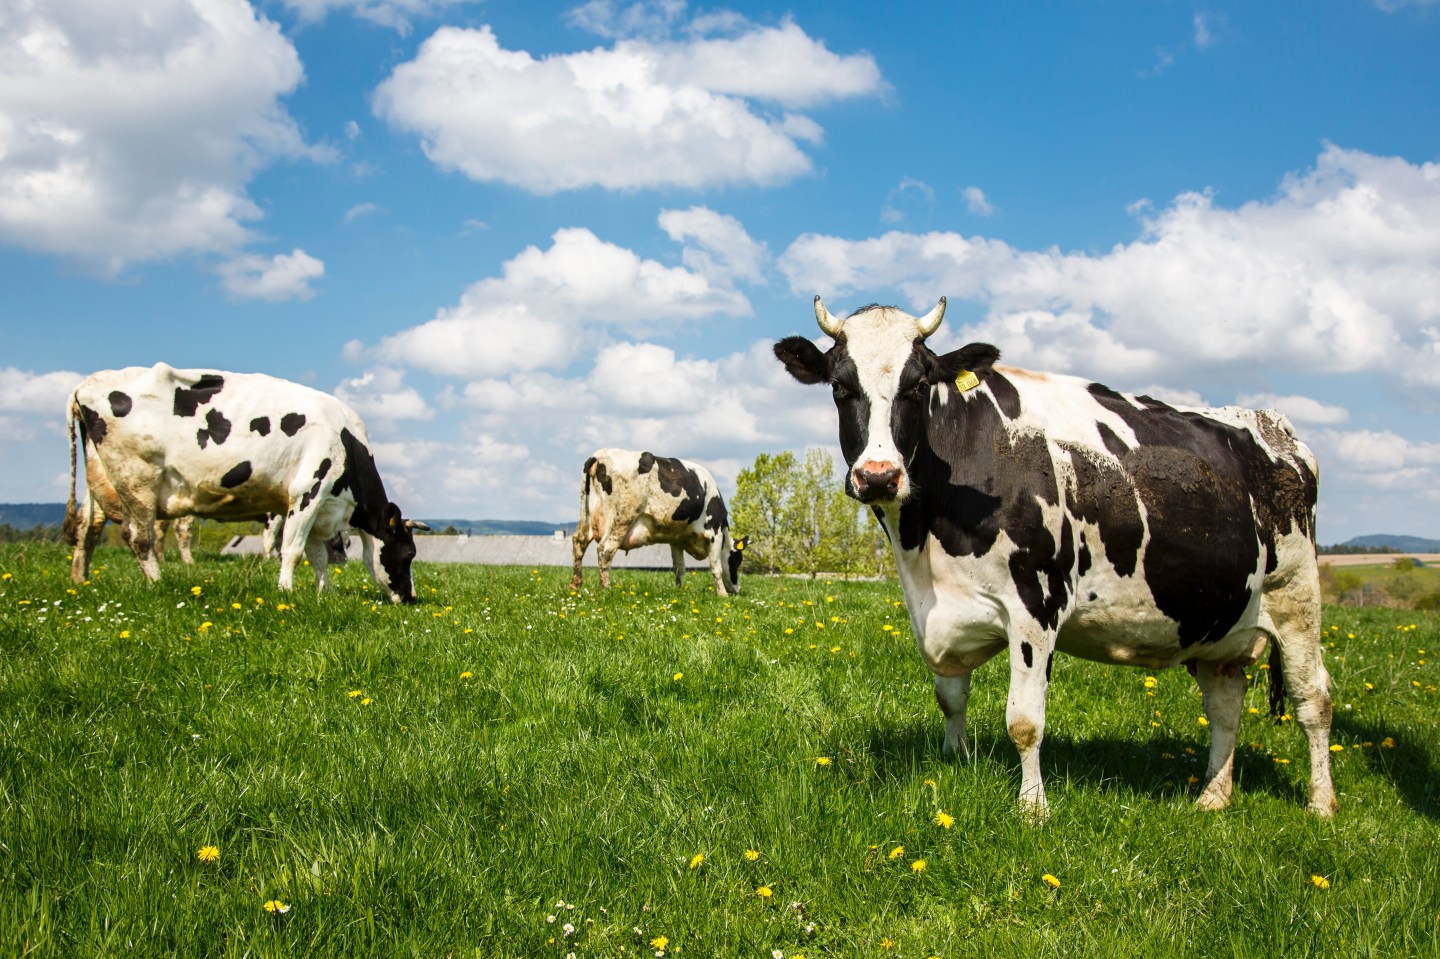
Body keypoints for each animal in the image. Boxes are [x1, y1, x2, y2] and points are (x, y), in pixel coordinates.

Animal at [65, 363, 427, 603]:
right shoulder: (306, 491)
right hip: (137, 477)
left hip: (100, 479)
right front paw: (286, 592)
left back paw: (80, 582)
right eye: (409, 552)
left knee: (87, 528)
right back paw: (157, 584)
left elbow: (317, 556)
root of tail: (84, 386)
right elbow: (291, 550)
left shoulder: (320, 505)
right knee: (139, 535)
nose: (410, 598)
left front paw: (326, 593)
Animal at [570, 449, 747, 597]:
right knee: (605, 550)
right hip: (621, 520)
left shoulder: (677, 539)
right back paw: (606, 590)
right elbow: (716, 567)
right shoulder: (715, 533)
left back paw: (575, 586)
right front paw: (722, 595)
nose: (737, 589)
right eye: (737, 560)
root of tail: (598, 455)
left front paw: (678, 590)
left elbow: (679, 568)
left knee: (579, 542)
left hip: (587, 515)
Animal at [774, 296, 1335, 818]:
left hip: (1297, 597)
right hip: (1216, 620)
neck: (925, 541)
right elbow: (950, 697)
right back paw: (1213, 798)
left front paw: (1033, 808)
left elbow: (1024, 721)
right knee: (1225, 705)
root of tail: (1272, 424)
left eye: (917, 386)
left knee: (1314, 700)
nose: (878, 477)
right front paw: (955, 760)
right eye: (839, 387)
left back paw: (1321, 804)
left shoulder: (1036, 602)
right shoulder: (942, 608)